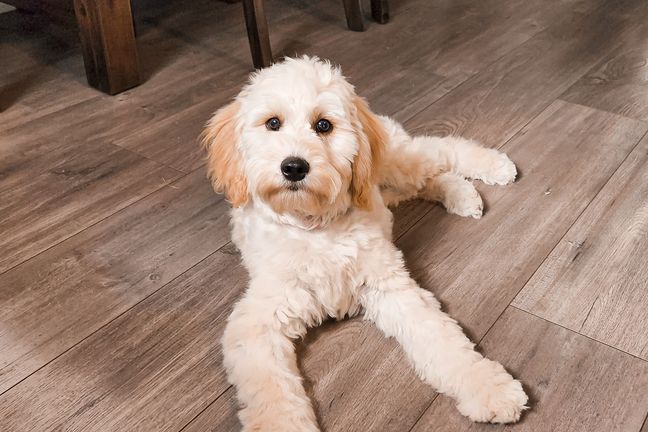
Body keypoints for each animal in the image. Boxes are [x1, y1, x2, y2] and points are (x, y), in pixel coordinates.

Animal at [202, 56, 528, 431]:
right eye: (273, 123)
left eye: (323, 125)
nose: (294, 167)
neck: (314, 227)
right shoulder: (258, 321)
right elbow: (271, 390)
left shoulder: (390, 286)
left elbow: (440, 338)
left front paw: (489, 387)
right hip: (389, 187)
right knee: (428, 180)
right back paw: (462, 195)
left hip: (394, 163)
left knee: (439, 150)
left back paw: (494, 166)